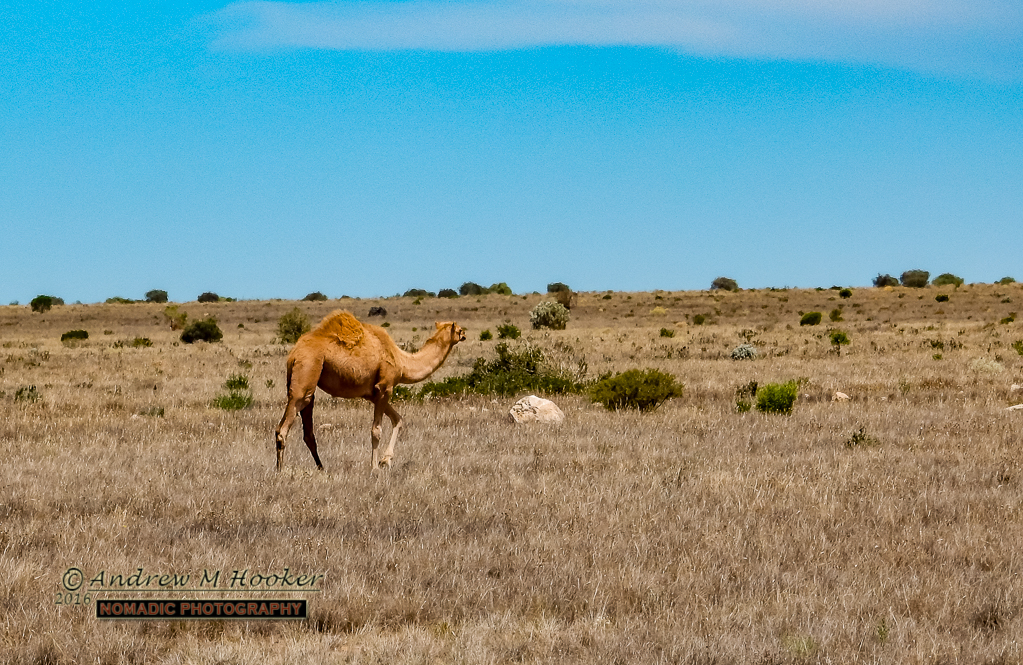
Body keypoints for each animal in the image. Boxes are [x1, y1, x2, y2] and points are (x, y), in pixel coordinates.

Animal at [274, 310, 465, 471]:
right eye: (460, 330)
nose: (465, 334)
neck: (402, 362)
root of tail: (293, 355)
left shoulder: (373, 394)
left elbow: (398, 419)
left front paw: (385, 460)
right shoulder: (385, 387)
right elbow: (376, 430)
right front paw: (374, 467)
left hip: (308, 381)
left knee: (306, 431)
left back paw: (321, 468)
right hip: (307, 371)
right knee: (283, 428)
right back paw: (280, 470)